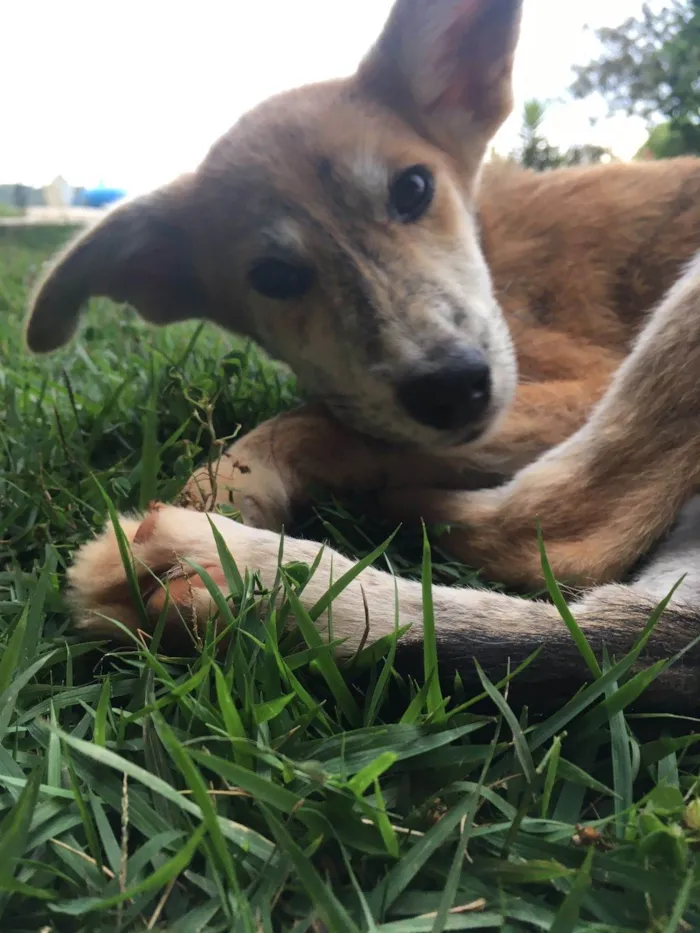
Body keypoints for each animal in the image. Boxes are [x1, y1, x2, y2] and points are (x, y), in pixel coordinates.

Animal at [24, 0, 700, 704]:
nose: (453, 388)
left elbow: (319, 423)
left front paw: (224, 489)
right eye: (274, 276)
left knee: (565, 536)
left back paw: (220, 563)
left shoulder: (581, 384)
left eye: (413, 188)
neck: (491, 242)